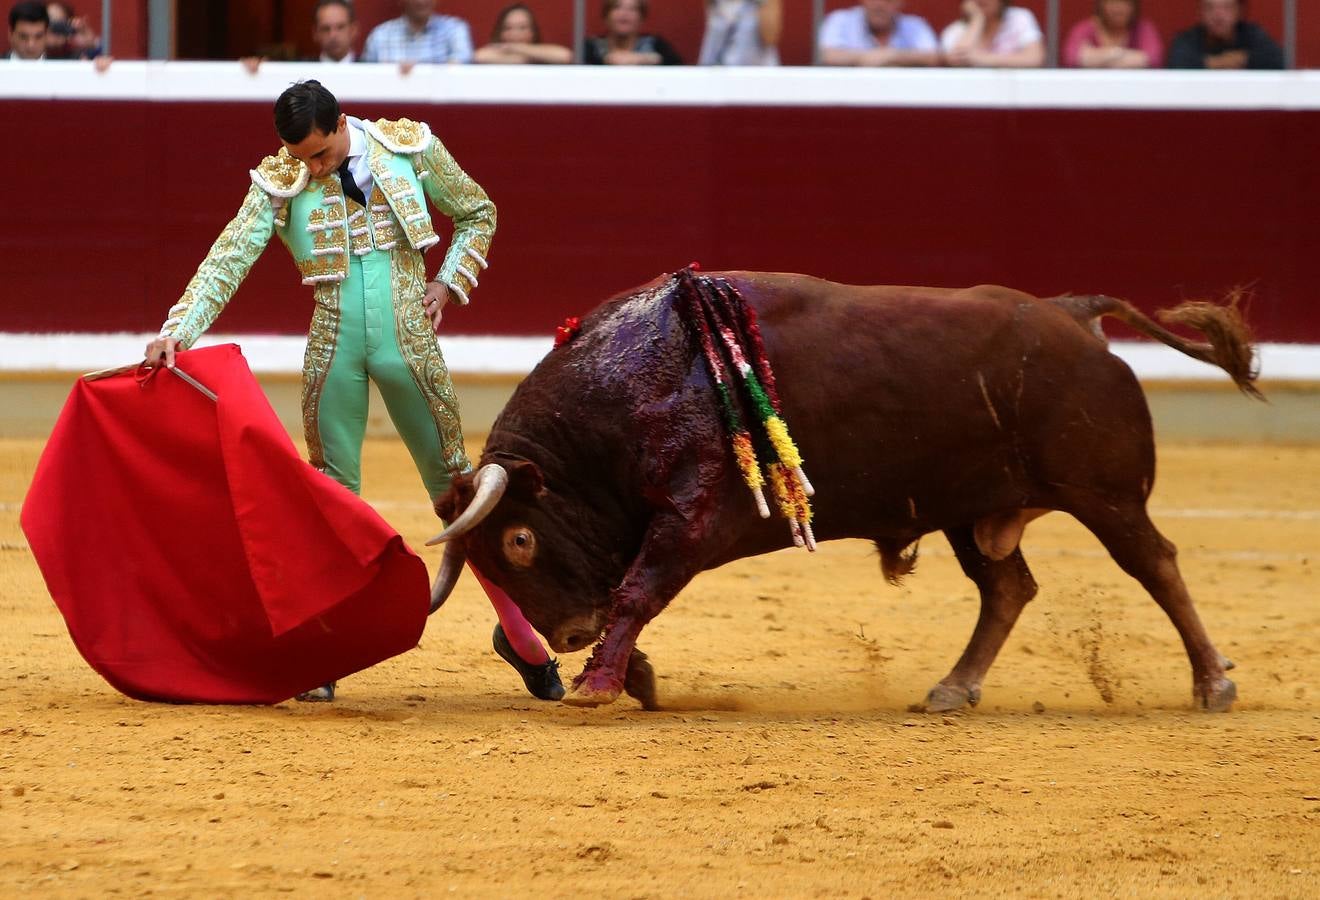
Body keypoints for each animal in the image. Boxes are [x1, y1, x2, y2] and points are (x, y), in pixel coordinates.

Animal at [425, 270, 1256, 712]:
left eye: (520, 539)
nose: (564, 635)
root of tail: (1072, 314)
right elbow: (629, 596)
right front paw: (633, 675)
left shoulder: (693, 517)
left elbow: (636, 592)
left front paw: (598, 683)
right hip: (970, 512)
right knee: (1007, 589)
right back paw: (952, 689)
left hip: (1104, 493)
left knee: (1155, 563)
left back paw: (1213, 683)